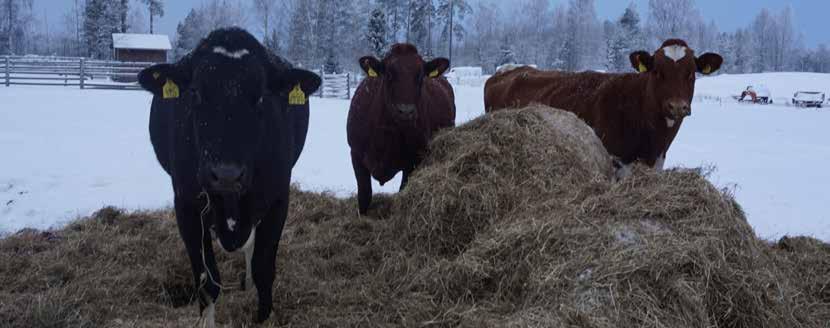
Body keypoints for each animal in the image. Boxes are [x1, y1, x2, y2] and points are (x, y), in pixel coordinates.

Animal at [136, 28, 322, 326]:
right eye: (196, 93)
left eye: (261, 96)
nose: (225, 174)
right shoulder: (186, 204)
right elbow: (207, 281)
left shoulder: (278, 199)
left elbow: (263, 270)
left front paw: (263, 316)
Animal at [348, 43, 458, 214]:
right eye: (388, 74)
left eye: (420, 76)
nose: (406, 111)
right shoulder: (356, 155)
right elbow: (364, 196)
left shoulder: (413, 161)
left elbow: (402, 191)